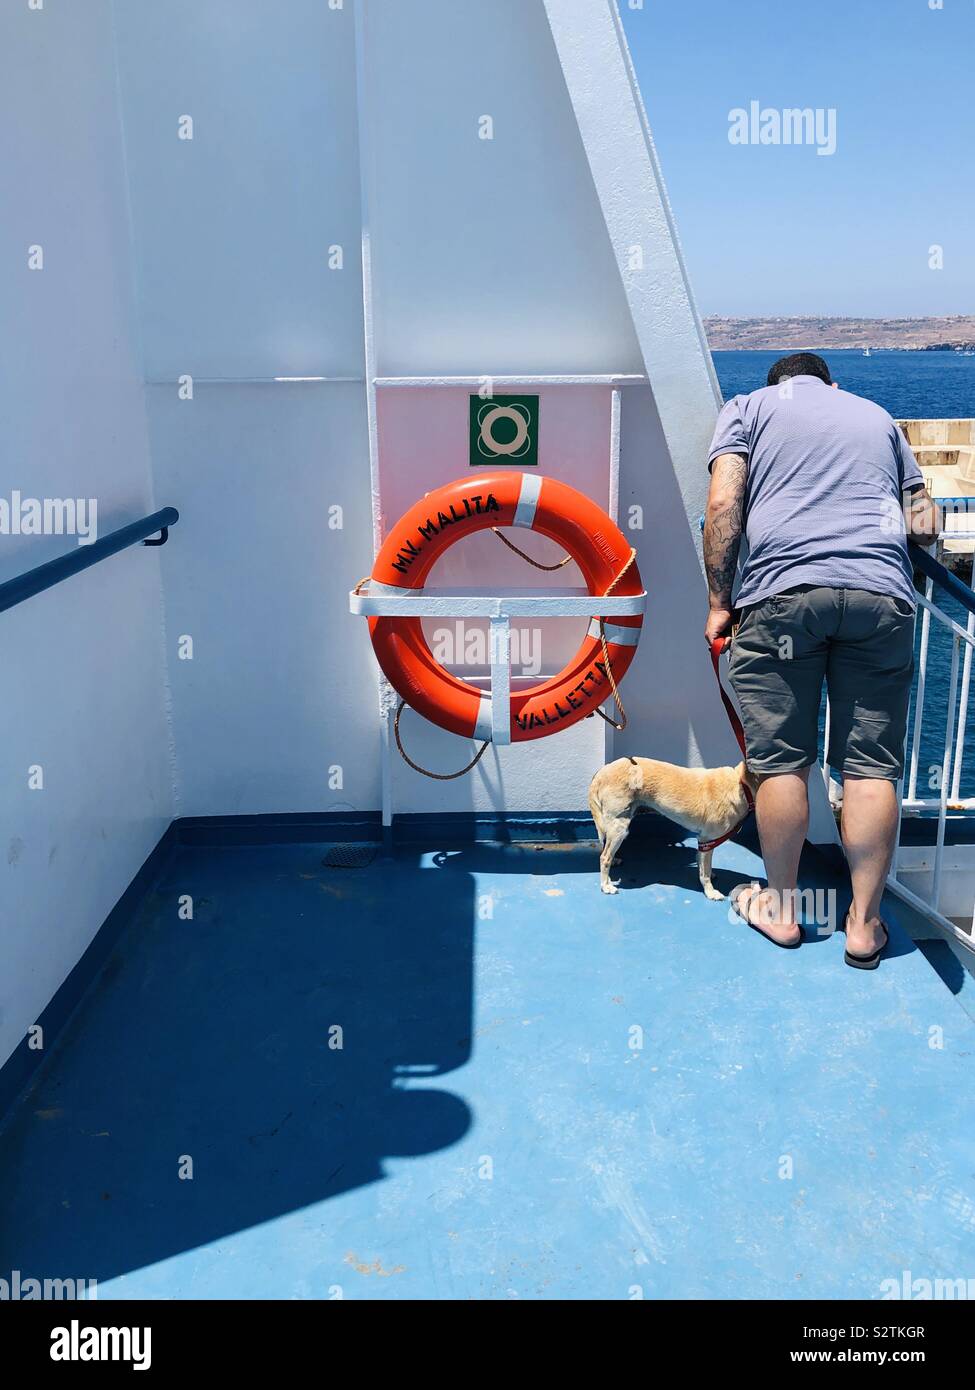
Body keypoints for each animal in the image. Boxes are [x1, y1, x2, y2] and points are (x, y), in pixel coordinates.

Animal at [589, 756, 756, 895]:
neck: (741, 785)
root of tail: (600, 773)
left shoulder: (704, 841)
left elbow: (702, 862)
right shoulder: (707, 839)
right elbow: (705, 872)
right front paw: (710, 892)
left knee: (606, 850)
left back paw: (614, 862)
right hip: (620, 827)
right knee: (604, 857)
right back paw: (606, 885)